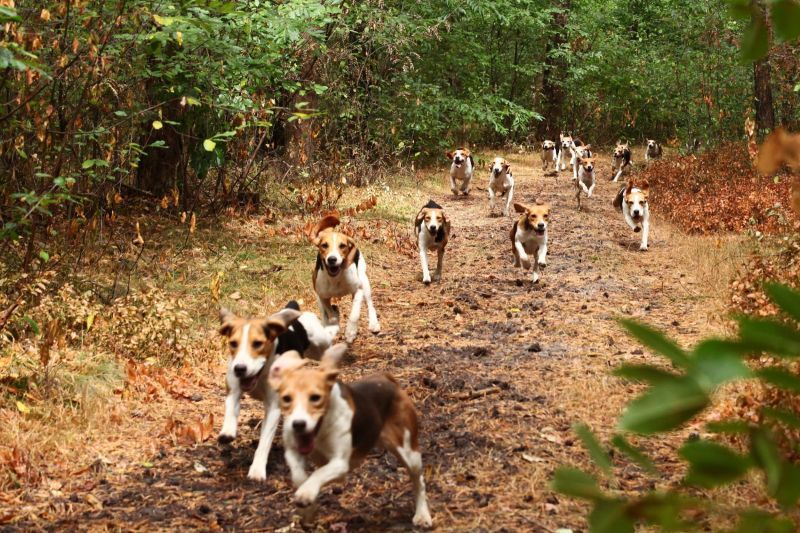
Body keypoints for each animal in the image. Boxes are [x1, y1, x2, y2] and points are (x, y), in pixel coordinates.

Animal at [217, 303, 339, 481]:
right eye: (233, 343)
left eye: (257, 344)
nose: (240, 368)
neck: (261, 373)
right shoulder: (233, 389)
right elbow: (231, 408)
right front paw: (227, 432)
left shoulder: (273, 408)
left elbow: (264, 442)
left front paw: (257, 470)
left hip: (320, 342)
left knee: (328, 338)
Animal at [269, 344, 433, 528]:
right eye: (286, 398)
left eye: (316, 398)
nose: (298, 424)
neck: (321, 430)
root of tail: (387, 379)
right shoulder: (292, 452)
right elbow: (299, 476)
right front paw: (308, 507)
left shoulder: (340, 463)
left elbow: (318, 473)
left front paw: (306, 493)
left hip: (408, 452)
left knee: (419, 482)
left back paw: (422, 515)